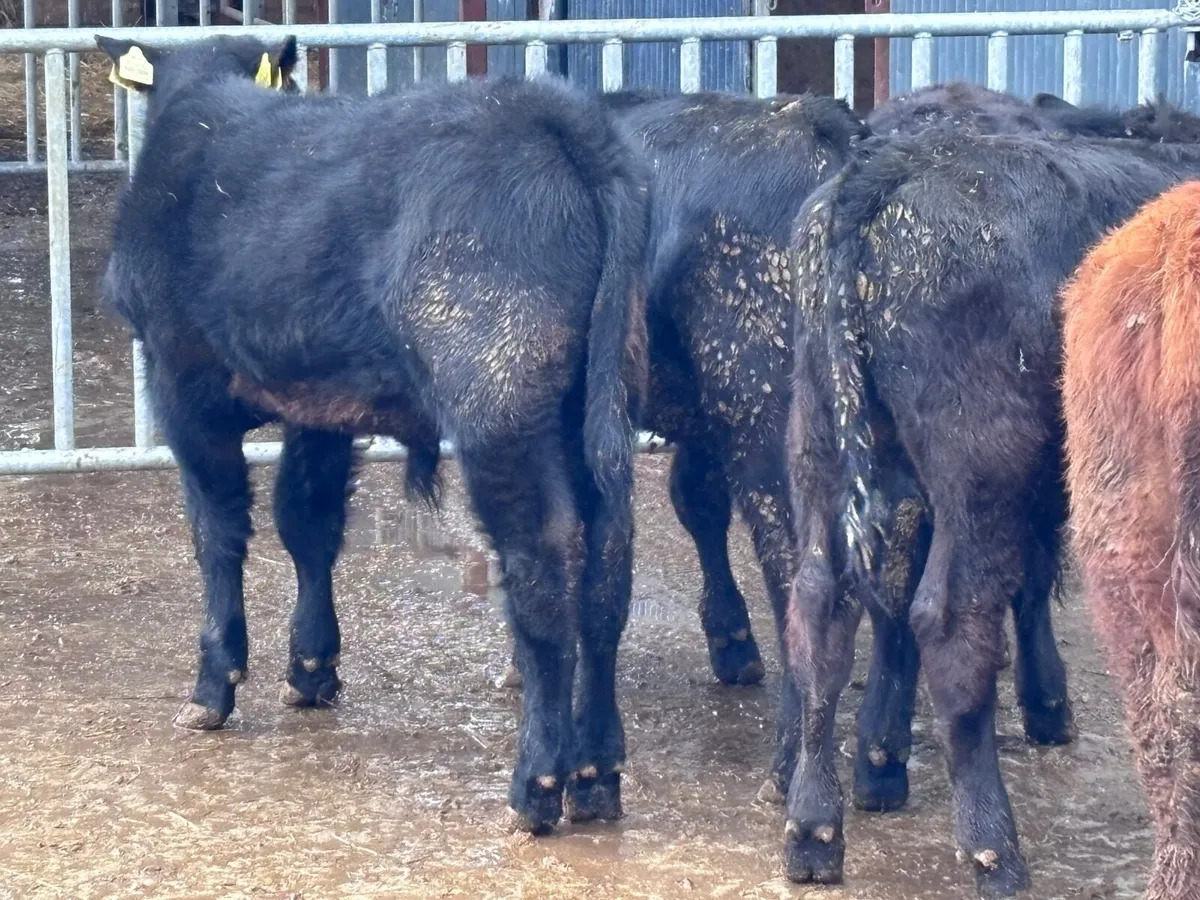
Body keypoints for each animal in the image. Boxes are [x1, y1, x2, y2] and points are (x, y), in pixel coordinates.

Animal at [96, 32, 650, 836]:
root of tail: (553, 114)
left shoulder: (179, 380)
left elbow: (217, 531)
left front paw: (213, 685)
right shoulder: (318, 403)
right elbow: (308, 521)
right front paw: (312, 669)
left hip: (499, 400)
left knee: (546, 561)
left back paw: (537, 786)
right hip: (599, 401)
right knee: (608, 562)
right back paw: (598, 774)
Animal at [784, 107, 1200, 896]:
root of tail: (895, 164)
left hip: (824, 451)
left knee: (825, 609)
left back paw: (813, 830)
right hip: (981, 473)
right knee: (951, 623)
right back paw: (993, 851)